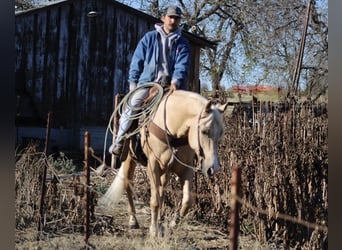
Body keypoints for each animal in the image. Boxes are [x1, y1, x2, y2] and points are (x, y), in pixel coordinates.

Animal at [99, 89, 227, 236]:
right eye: (204, 131)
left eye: (221, 133)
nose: (214, 168)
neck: (173, 130)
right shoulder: (152, 166)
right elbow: (154, 200)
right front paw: (153, 230)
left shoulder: (185, 168)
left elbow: (187, 200)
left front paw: (172, 224)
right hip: (129, 159)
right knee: (128, 184)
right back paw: (133, 221)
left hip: (165, 170)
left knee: (161, 191)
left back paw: (159, 221)